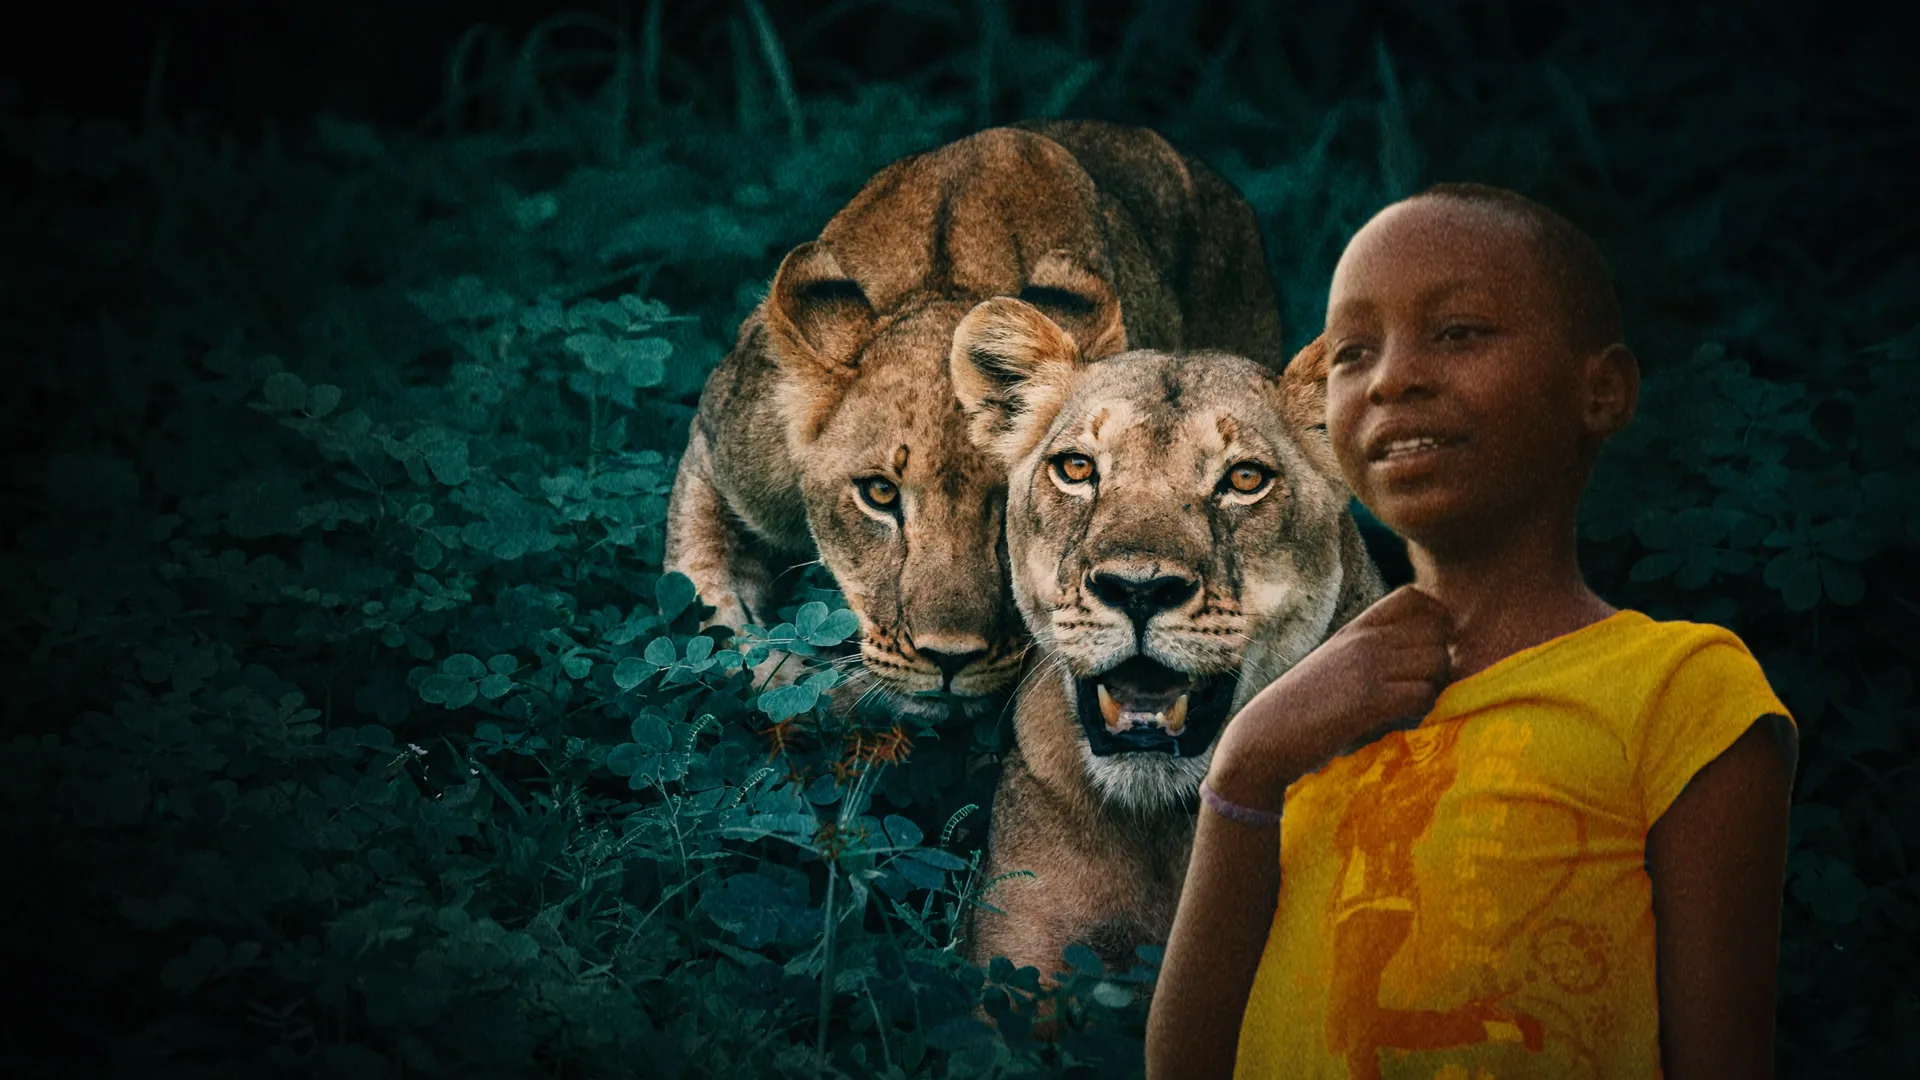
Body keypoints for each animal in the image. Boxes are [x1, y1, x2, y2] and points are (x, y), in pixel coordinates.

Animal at [663, 119, 1288, 721]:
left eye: (1008, 504)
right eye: (879, 493)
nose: (948, 658)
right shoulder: (726, 454)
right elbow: (703, 584)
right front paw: (778, 675)